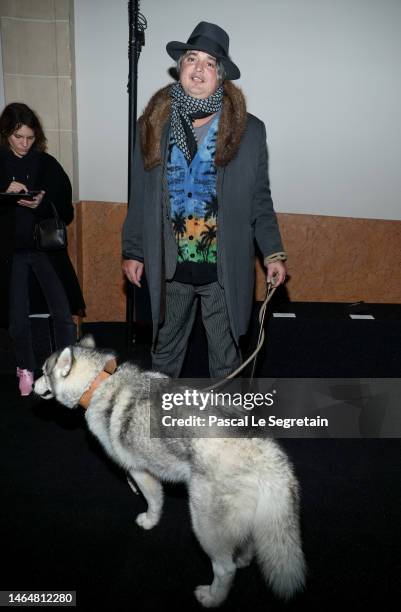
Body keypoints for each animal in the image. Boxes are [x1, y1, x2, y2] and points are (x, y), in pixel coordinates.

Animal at [35, 338, 304, 608]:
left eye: (44, 371)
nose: (32, 385)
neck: (99, 382)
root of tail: (265, 452)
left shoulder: (142, 472)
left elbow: (153, 501)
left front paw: (149, 521)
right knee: (246, 546)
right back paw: (242, 559)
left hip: (205, 524)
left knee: (225, 569)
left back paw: (212, 597)